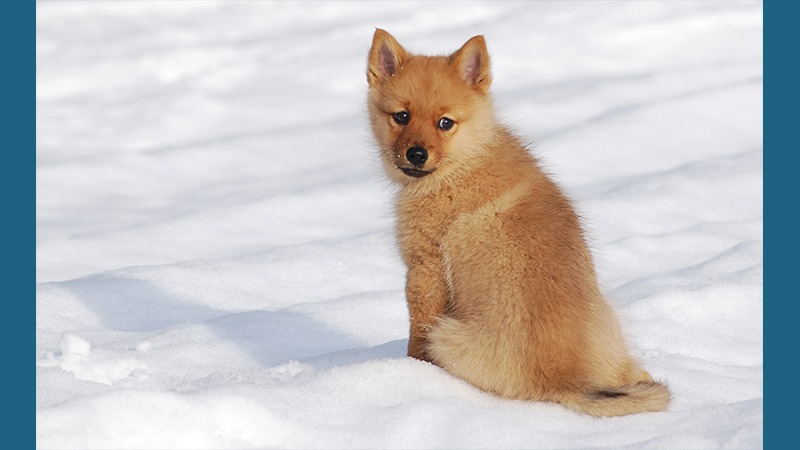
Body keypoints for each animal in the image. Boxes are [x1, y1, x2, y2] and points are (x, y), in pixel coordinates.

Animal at [368, 29, 668, 418]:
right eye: (401, 116)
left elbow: (416, 335)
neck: (464, 164)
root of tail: (564, 380)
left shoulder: (425, 270)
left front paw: (412, 371)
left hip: (447, 336)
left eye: (445, 122)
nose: (416, 154)